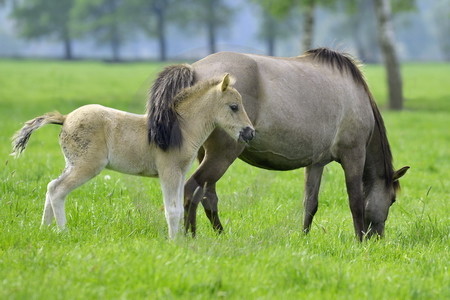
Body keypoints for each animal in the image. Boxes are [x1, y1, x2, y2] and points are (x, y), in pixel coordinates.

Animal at [10, 72, 255, 239]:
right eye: (234, 106)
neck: (181, 128)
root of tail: (66, 117)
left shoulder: (179, 173)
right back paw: (63, 232)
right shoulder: (168, 172)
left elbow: (177, 205)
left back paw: (45, 229)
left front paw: (180, 241)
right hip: (87, 166)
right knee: (59, 190)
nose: (250, 133)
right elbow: (172, 209)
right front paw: (174, 243)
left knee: (51, 186)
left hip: (72, 164)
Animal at [151, 47, 408, 239]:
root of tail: (194, 70)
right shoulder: (353, 155)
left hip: (205, 155)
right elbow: (355, 201)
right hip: (222, 154)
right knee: (191, 190)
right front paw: (359, 240)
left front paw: (304, 237)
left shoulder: (316, 163)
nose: (377, 238)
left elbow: (310, 203)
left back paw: (219, 234)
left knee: (207, 195)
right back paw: (190, 236)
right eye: (393, 199)